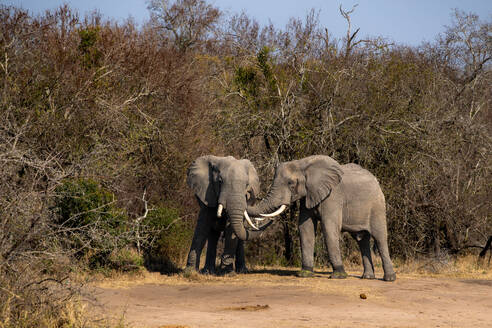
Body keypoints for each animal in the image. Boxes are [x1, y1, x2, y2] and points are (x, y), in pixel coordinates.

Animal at [246, 155, 396, 280]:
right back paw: (367, 277)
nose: (248, 191)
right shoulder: (308, 195)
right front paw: (305, 274)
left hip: (377, 206)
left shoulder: (332, 196)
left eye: (291, 184)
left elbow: (329, 228)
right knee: (362, 240)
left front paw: (338, 276)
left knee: (380, 238)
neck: (303, 163)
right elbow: (305, 228)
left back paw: (389, 278)